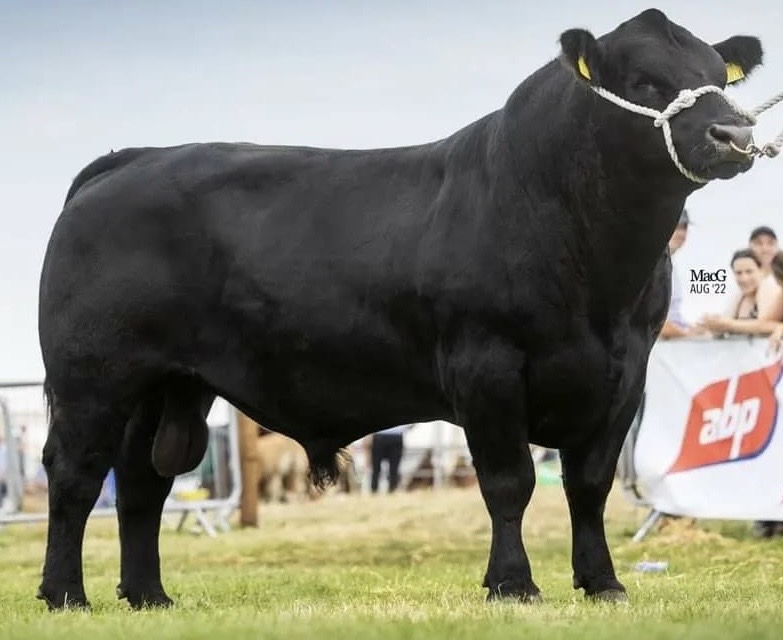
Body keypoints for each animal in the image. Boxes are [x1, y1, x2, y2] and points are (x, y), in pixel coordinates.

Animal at [36, 8, 763, 610]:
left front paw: (602, 582)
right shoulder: (486, 365)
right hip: (92, 377)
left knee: (140, 483)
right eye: (644, 80)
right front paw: (512, 584)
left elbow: (588, 485)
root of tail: (131, 161)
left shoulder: (624, 376)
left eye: (714, 77)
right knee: (75, 474)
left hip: (167, 384)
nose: (733, 132)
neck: (594, 269)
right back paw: (66, 595)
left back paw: (148, 595)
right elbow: (509, 482)